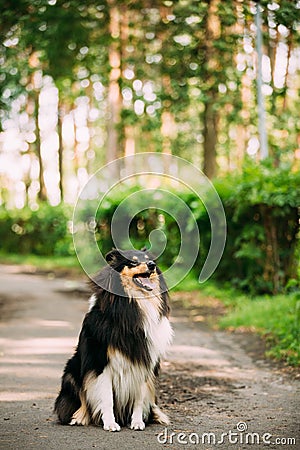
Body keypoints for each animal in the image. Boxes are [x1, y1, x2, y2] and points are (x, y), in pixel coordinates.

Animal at [54, 248, 172, 430]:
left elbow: (139, 398)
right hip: (71, 371)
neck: (133, 306)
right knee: (81, 398)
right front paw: (110, 423)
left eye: (149, 259)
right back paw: (79, 417)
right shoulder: (101, 364)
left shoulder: (145, 363)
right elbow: (106, 398)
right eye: (133, 261)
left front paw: (137, 422)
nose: (152, 265)